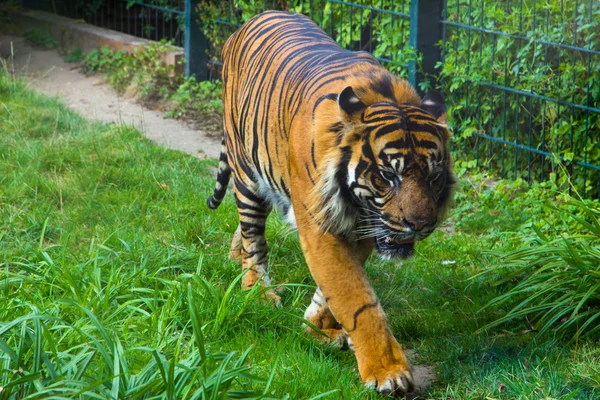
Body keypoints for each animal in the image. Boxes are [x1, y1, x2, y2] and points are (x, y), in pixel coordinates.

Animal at [206, 10, 454, 396]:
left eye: (433, 177)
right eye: (389, 175)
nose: (419, 225)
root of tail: (253, 19)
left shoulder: (366, 226)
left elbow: (335, 288)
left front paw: (318, 327)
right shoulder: (321, 224)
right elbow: (355, 295)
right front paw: (388, 370)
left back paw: (235, 256)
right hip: (247, 174)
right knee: (253, 237)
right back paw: (256, 290)